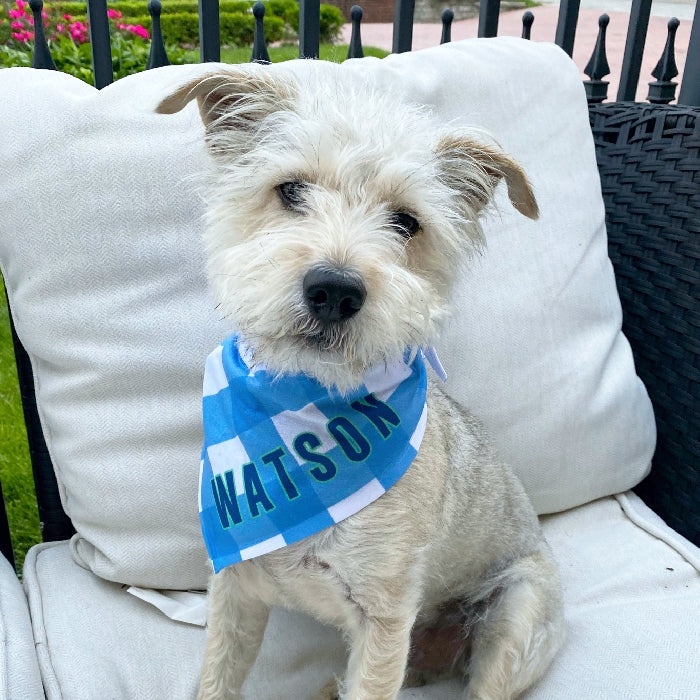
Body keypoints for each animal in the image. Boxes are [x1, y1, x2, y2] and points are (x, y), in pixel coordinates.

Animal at [157, 65, 564, 700]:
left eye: (407, 222)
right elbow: (218, 678)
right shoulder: (235, 588)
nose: (334, 289)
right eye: (290, 191)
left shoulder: (384, 618)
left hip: (516, 614)